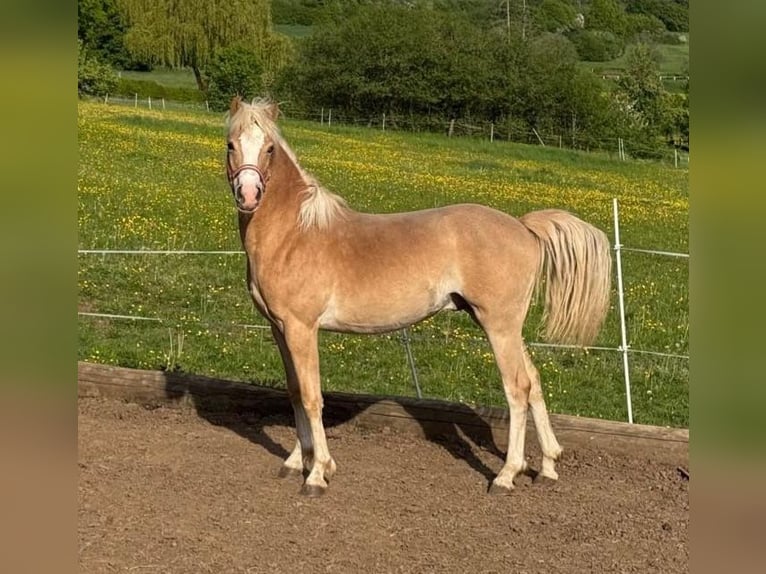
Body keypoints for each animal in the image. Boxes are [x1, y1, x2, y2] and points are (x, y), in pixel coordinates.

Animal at [225, 97, 612, 496]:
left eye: (269, 148)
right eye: (231, 145)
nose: (249, 196)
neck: (295, 233)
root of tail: (523, 227)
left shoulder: (302, 329)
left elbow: (312, 397)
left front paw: (318, 473)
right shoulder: (280, 328)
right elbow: (294, 392)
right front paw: (294, 462)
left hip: (499, 326)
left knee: (517, 389)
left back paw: (506, 476)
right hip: (503, 326)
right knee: (533, 382)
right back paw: (548, 465)